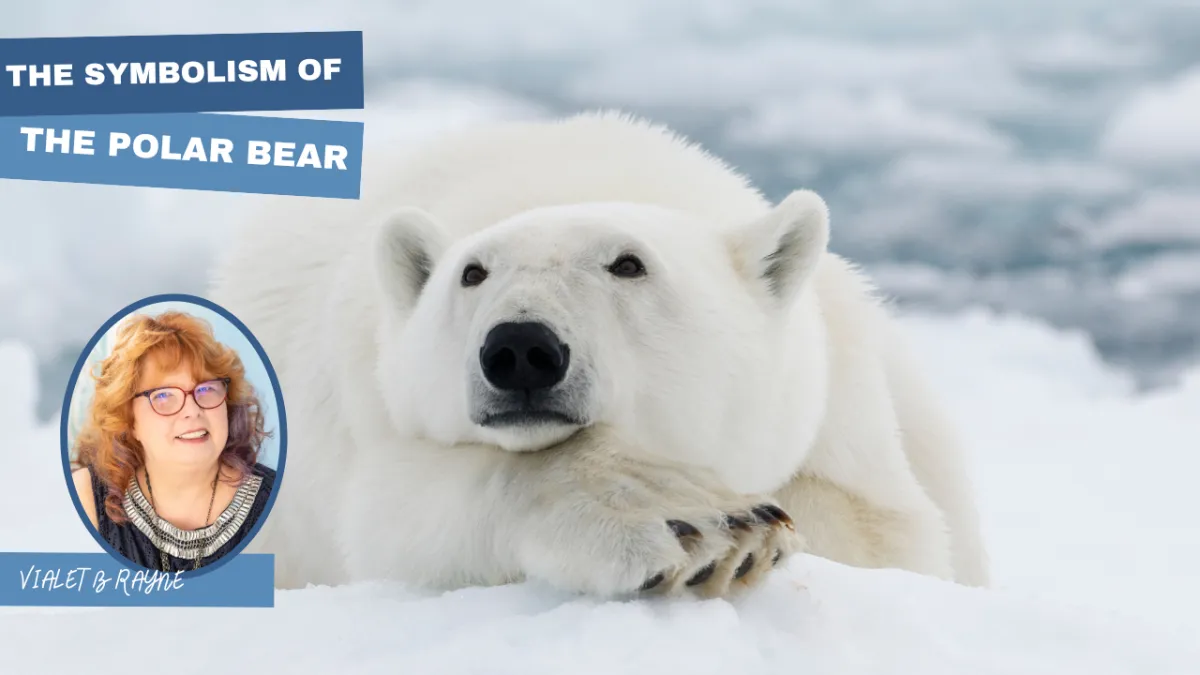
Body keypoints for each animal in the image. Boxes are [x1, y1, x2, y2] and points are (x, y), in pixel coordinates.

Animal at [208, 111, 990, 598]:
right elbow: (400, 513)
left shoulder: (840, 404)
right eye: (472, 272)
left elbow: (889, 534)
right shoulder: (368, 410)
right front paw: (699, 524)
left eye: (628, 263)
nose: (520, 348)